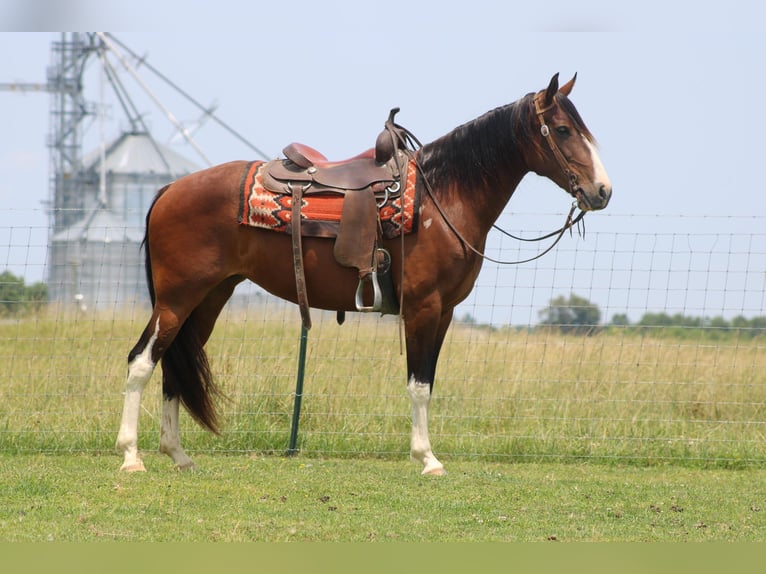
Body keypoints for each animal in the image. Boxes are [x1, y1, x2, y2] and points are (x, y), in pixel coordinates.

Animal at [117, 73, 616, 476]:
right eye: (564, 130)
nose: (602, 191)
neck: (442, 197)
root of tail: (169, 189)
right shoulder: (423, 307)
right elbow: (418, 386)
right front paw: (427, 459)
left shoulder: (446, 312)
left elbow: (429, 381)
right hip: (177, 299)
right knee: (142, 361)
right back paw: (131, 456)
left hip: (208, 298)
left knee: (172, 365)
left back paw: (178, 455)